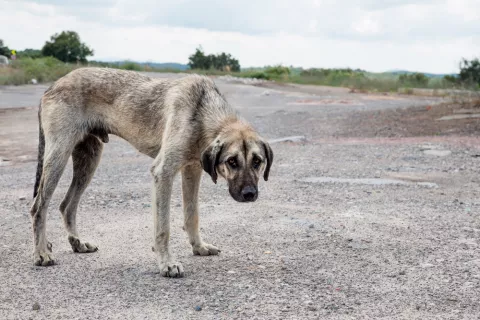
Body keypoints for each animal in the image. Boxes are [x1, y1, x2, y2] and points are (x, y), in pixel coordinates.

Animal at [31, 67, 274, 278]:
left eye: (257, 161)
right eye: (232, 161)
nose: (250, 194)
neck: (203, 111)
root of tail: (52, 85)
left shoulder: (192, 170)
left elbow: (192, 215)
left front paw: (198, 247)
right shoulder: (163, 172)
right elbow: (163, 227)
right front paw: (167, 263)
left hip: (88, 161)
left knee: (67, 205)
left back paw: (77, 243)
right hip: (58, 156)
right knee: (38, 207)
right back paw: (41, 253)